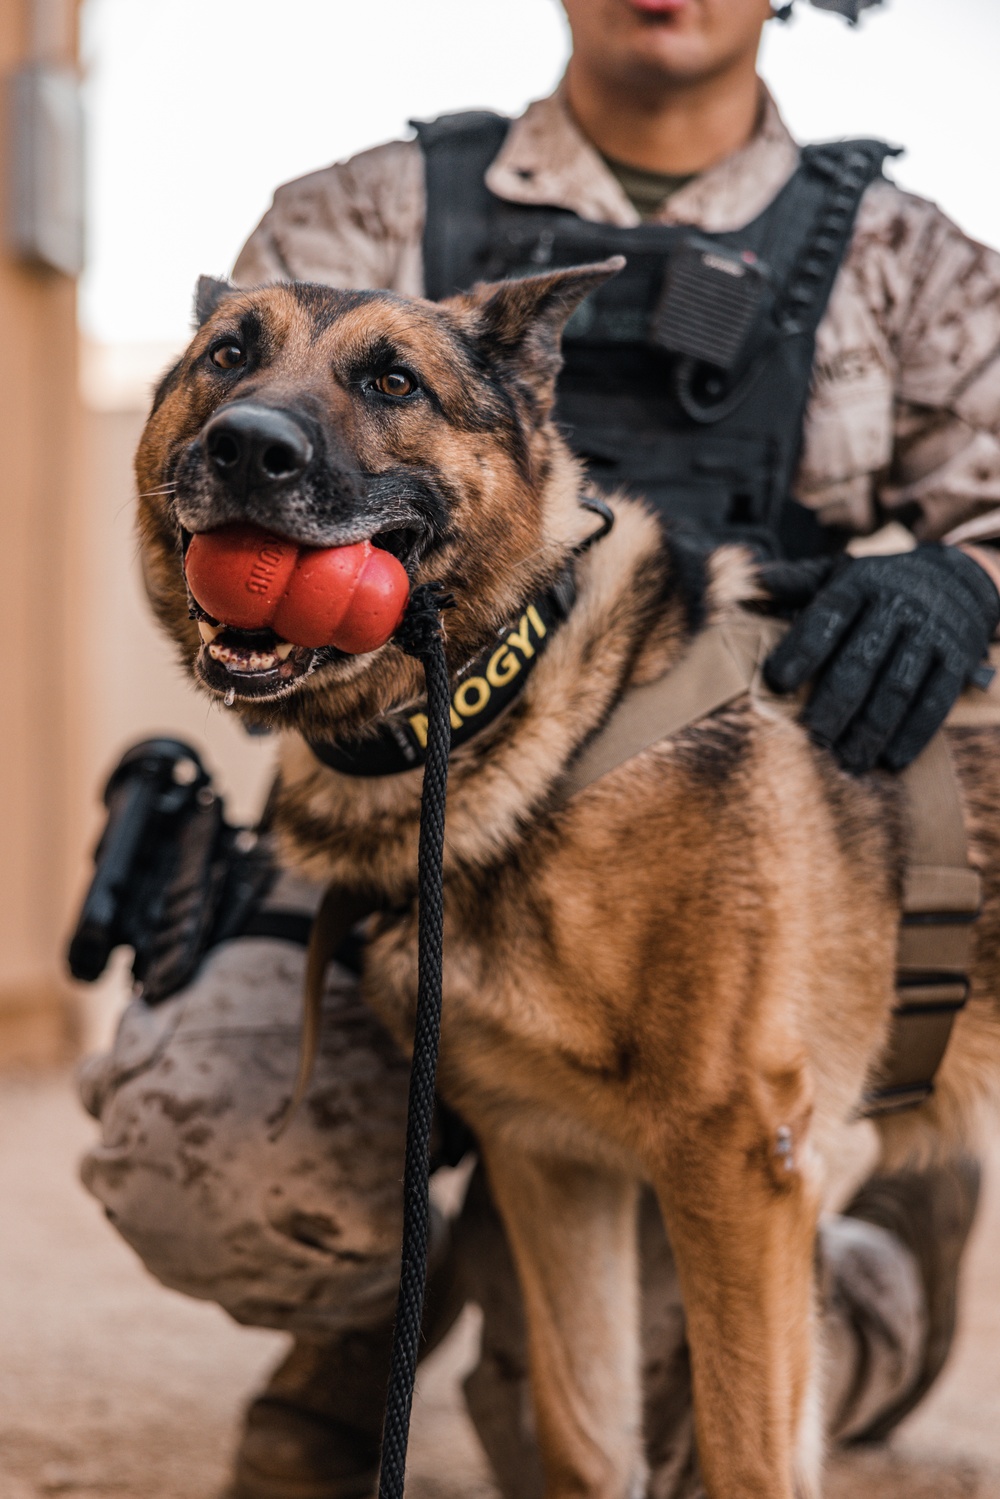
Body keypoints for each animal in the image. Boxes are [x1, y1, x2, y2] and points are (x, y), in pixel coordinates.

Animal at [134, 266, 1000, 1499]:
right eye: (226, 356)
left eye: (394, 382)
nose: (248, 445)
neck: (522, 720)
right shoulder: (550, 1162)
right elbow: (584, 1438)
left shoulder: (738, 1165)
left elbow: (745, 1455)